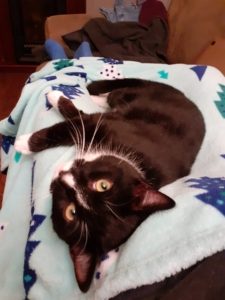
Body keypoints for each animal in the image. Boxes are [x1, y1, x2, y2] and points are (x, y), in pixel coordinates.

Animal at [14, 78, 206, 292]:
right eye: (103, 185)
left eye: (71, 212)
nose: (65, 178)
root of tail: (187, 99)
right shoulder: (109, 126)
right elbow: (74, 122)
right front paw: (52, 104)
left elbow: (75, 122)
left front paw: (22, 143)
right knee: (114, 95)